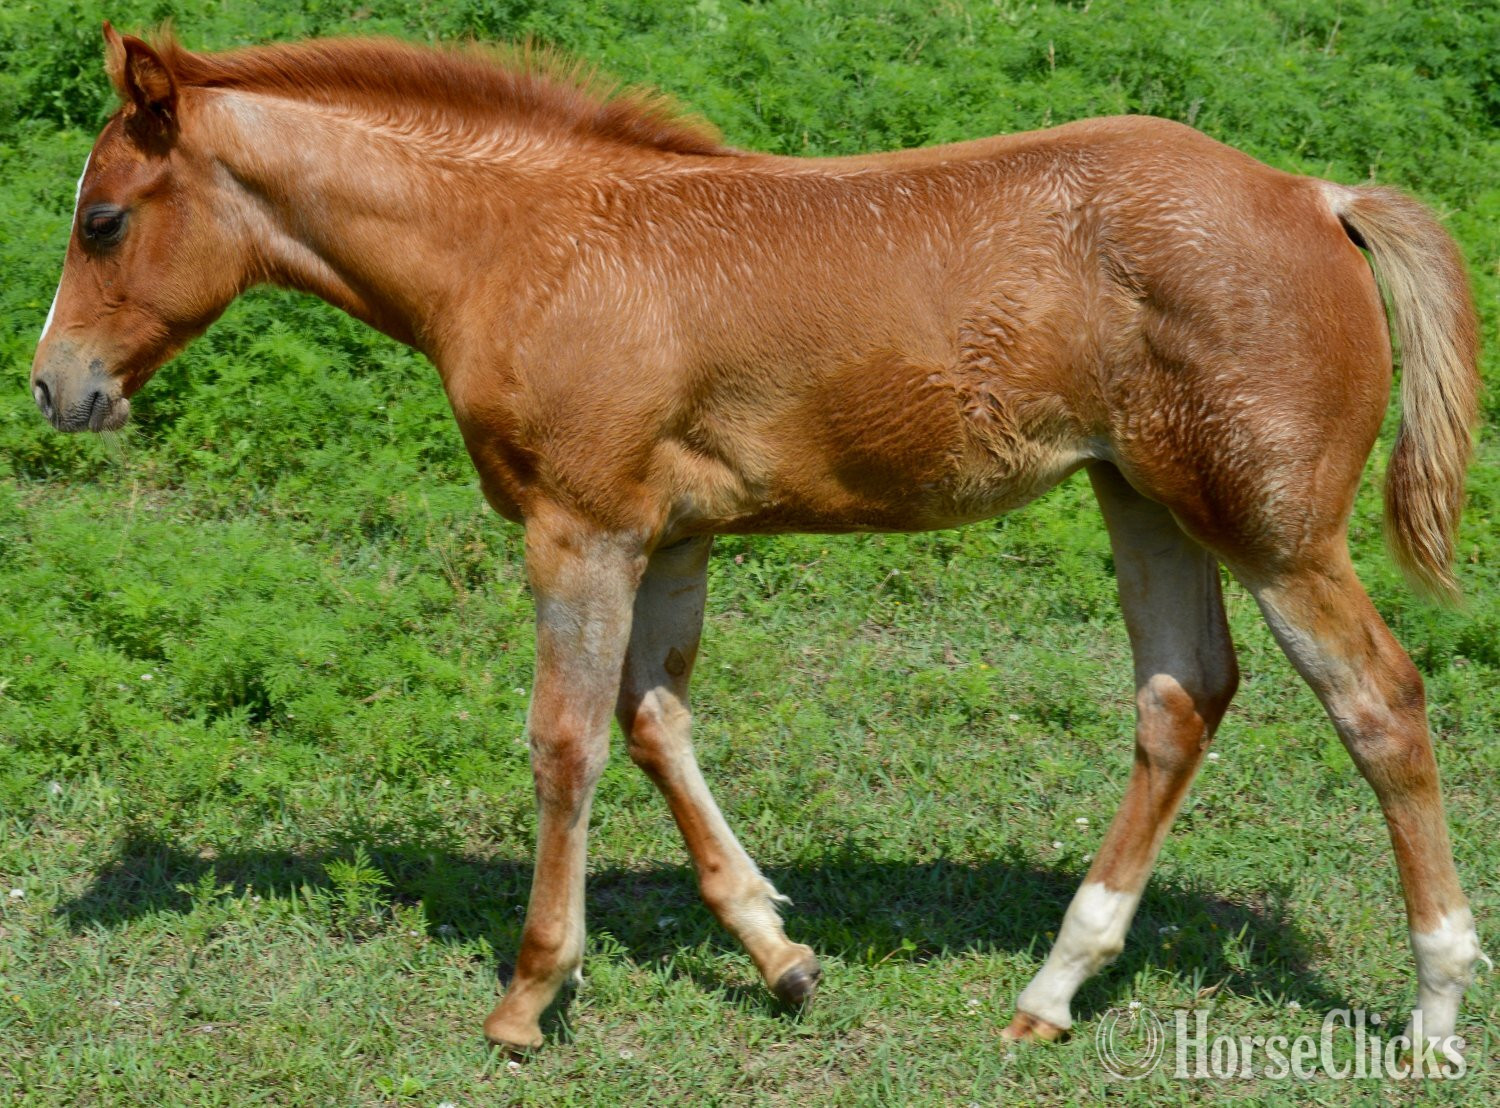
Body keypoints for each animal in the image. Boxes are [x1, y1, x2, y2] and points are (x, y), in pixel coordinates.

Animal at [31, 25, 1484, 1055]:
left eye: (103, 220)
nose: (55, 388)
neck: (526, 245)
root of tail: (1314, 192)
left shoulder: (581, 531)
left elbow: (566, 743)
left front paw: (528, 998)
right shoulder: (669, 539)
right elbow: (656, 724)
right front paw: (778, 954)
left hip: (1273, 528)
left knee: (1380, 703)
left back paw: (1432, 1005)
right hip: (1145, 501)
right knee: (1182, 697)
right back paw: (1053, 988)